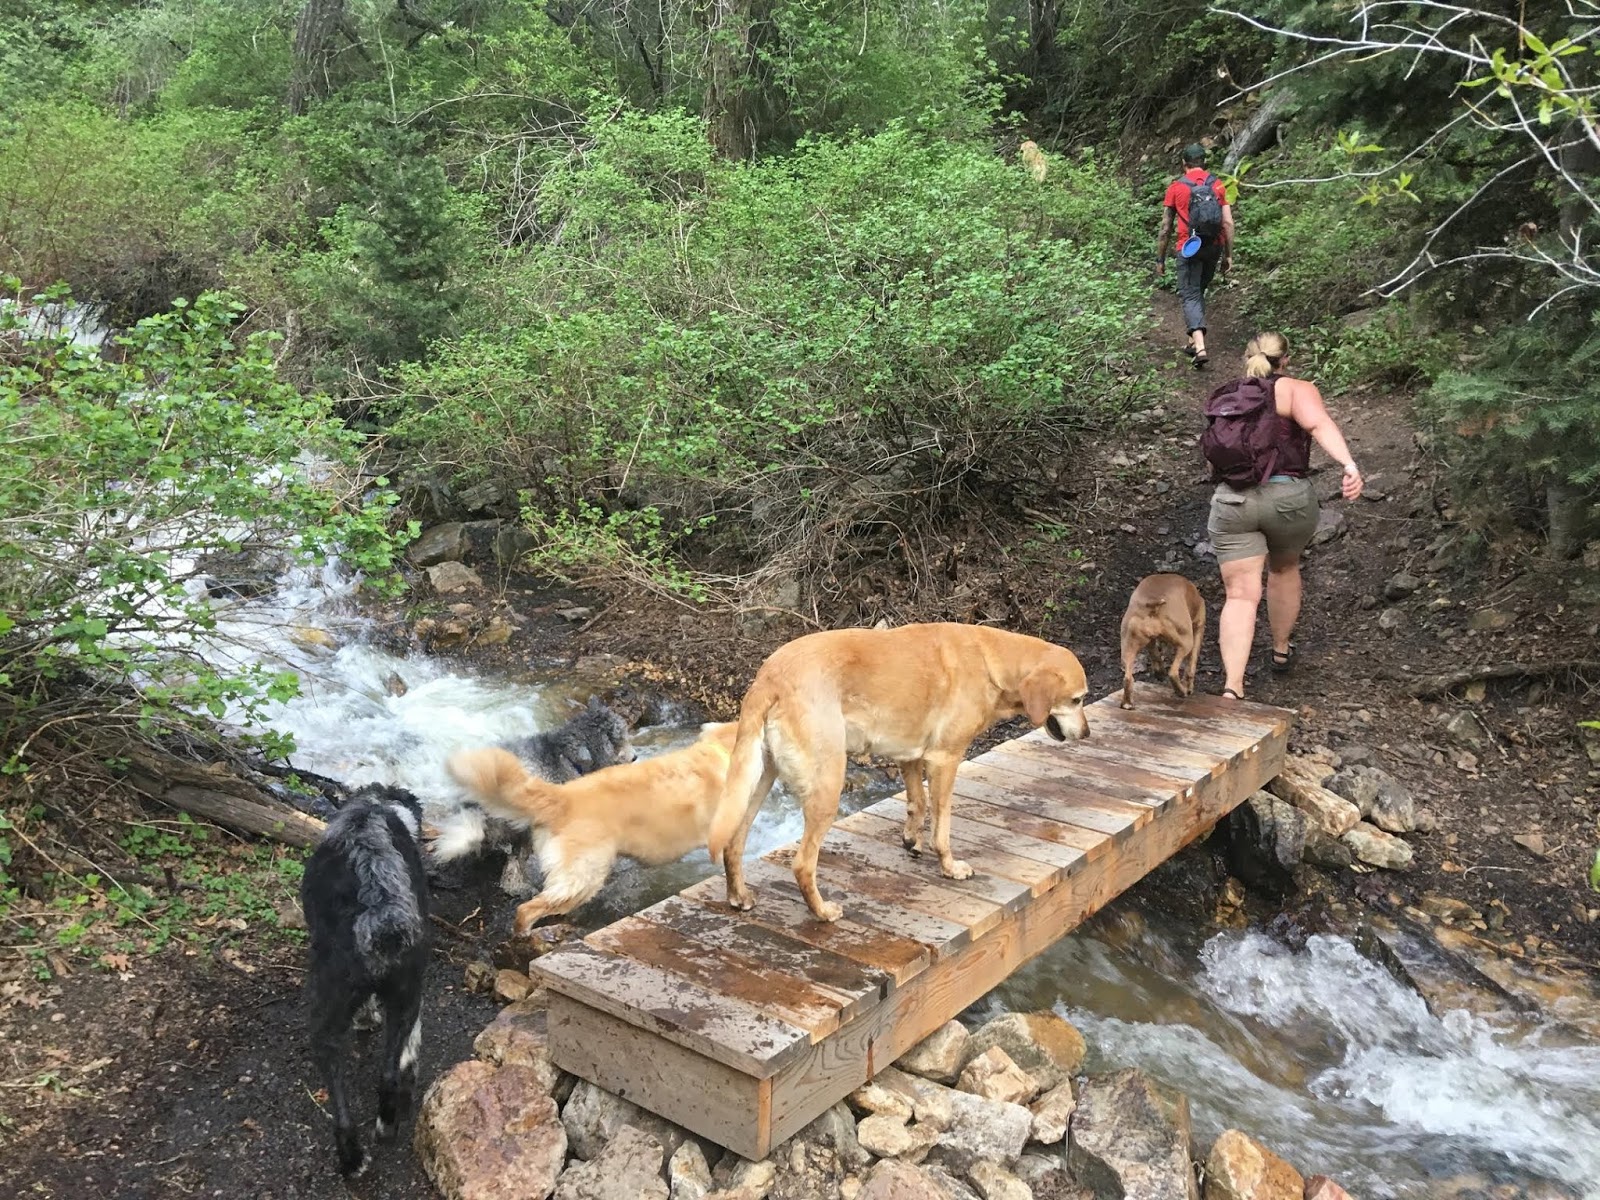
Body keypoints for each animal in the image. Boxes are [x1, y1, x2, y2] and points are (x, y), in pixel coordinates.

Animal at [299, 784, 428, 1177]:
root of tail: (381, 914)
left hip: (326, 1017)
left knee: (339, 1093)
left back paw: (353, 1155)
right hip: (403, 995)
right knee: (387, 1077)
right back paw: (383, 1128)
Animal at [710, 624, 1094, 928]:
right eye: (1077, 700)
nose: (1088, 734)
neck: (992, 661)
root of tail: (769, 677)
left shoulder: (910, 757)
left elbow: (917, 803)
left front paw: (911, 840)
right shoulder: (944, 760)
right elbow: (942, 826)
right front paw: (950, 866)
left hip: (759, 779)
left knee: (733, 841)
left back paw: (739, 896)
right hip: (827, 785)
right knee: (803, 864)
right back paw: (822, 911)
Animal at [1120, 576, 1203, 710]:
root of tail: (1153, 605)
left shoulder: (1150, 641)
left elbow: (1154, 653)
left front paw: (1159, 672)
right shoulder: (1199, 628)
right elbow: (1191, 664)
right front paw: (1188, 686)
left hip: (1128, 648)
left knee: (1128, 677)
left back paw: (1127, 703)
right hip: (1186, 643)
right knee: (1173, 672)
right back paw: (1181, 691)